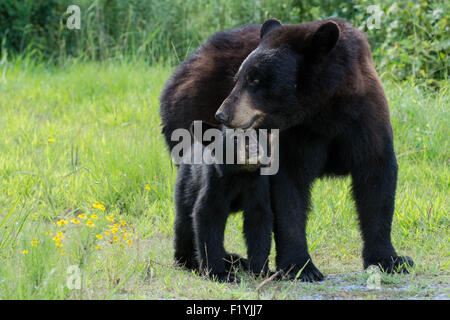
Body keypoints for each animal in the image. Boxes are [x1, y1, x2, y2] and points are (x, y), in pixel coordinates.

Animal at [159, 18, 414, 282]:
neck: (324, 111)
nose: (223, 114)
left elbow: (376, 180)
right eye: (238, 77)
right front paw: (300, 266)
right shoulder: (295, 136)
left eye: (255, 80)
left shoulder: (364, 118)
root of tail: (189, 60)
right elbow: (288, 189)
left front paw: (388, 259)